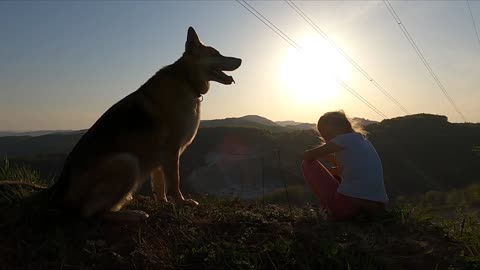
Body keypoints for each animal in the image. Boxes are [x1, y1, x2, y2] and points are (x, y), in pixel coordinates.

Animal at [50, 26, 242, 220]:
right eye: (216, 54)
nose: (241, 59)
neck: (186, 80)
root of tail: (60, 195)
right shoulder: (171, 151)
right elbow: (174, 182)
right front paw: (181, 203)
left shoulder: (162, 157)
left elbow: (159, 184)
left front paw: (163, 203)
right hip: (128, 162)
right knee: (91, 213)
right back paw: (133, 214)